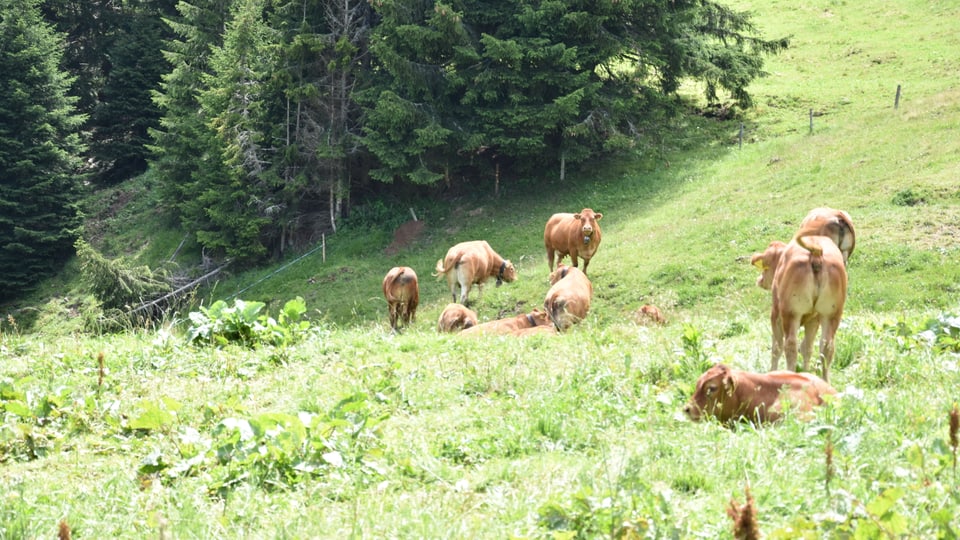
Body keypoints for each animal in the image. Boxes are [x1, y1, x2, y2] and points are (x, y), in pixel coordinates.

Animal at [752, 237, 844, 384]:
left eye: (766, 265)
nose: (760, 279)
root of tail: (816, 252)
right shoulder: (814, 319)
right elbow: (807, 348)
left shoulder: (775, 314)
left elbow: (776, 347)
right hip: (831, 314)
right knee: (826, 346)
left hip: (791, 314)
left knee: (790, 345)